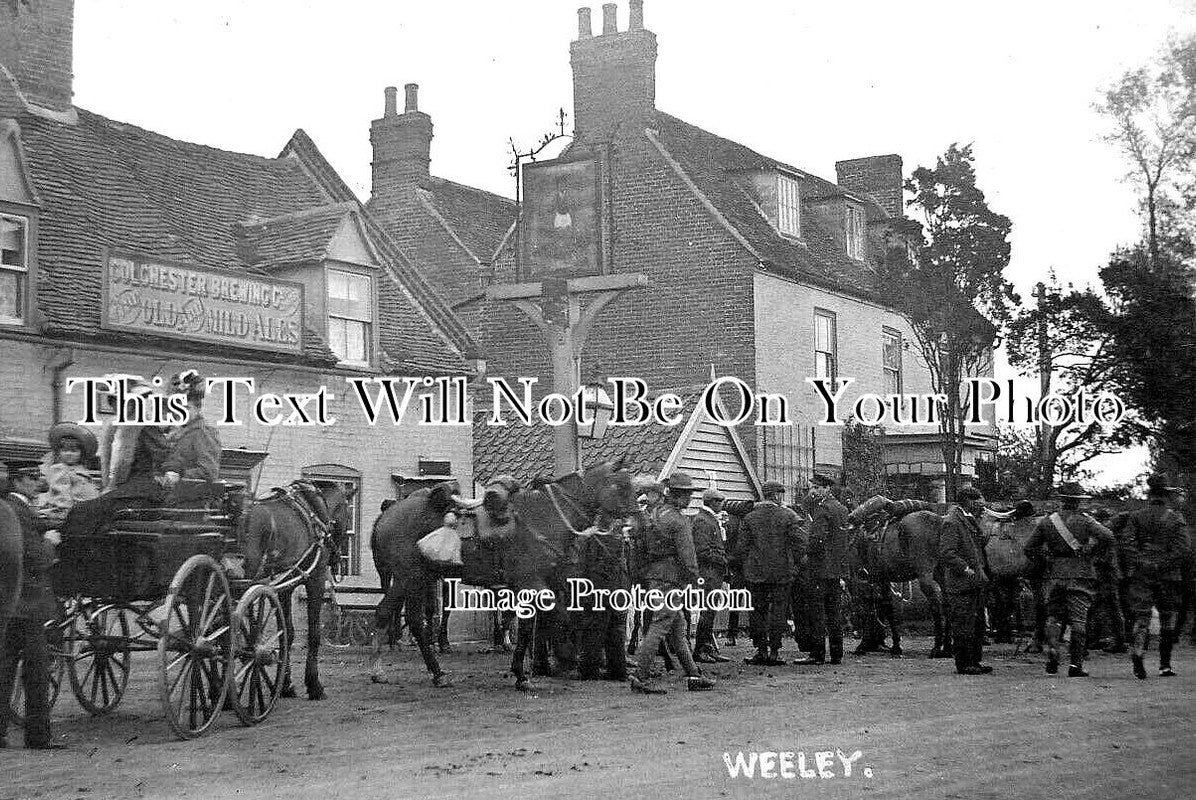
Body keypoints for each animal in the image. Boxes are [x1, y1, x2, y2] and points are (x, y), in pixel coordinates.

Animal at [240, 480, 354, 698]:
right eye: (348, 514)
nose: (336, 559)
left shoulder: (285, 587)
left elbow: (287, 633)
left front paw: (286, 684)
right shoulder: (315, 579)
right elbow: (313, 632)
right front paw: (314, 685)